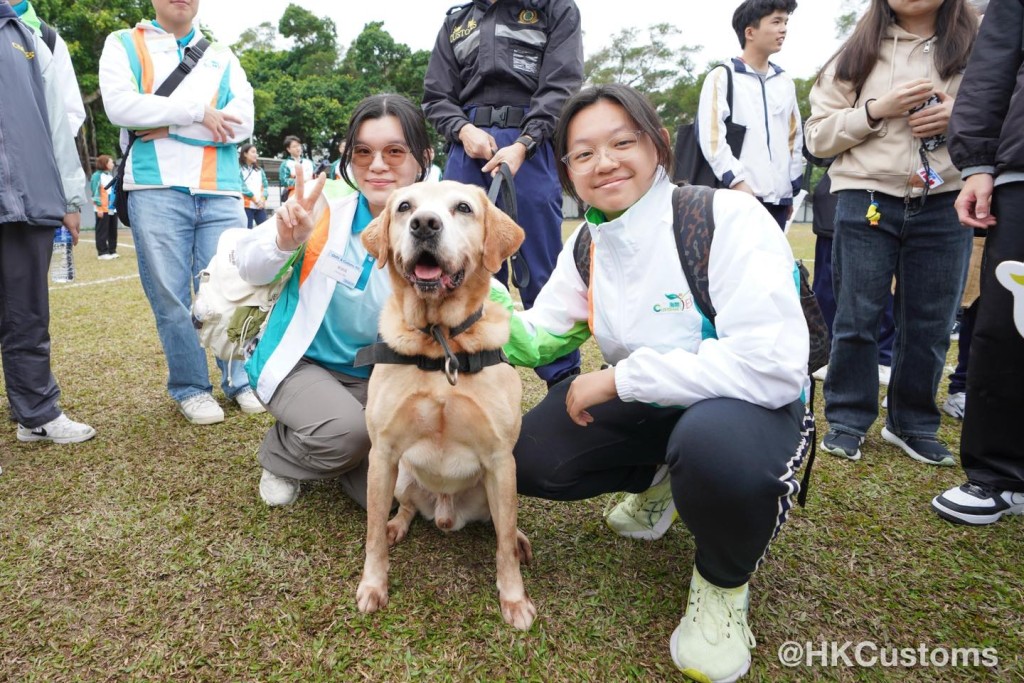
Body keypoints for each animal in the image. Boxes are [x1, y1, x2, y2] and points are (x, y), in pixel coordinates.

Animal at [354, 180, 536, 630]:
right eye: (405, 207)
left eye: (463, 208)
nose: (424, 225)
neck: (441, 342)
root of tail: (445, 513)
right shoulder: (383, 453)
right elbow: (370, 535)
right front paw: (373, 585)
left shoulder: (500, 458)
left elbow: (503, 546)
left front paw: (514, 599)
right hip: (400, 477)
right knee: (406, 508)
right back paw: (397, 524)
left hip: (497, 485)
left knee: (504, 528)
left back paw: (520, 538)